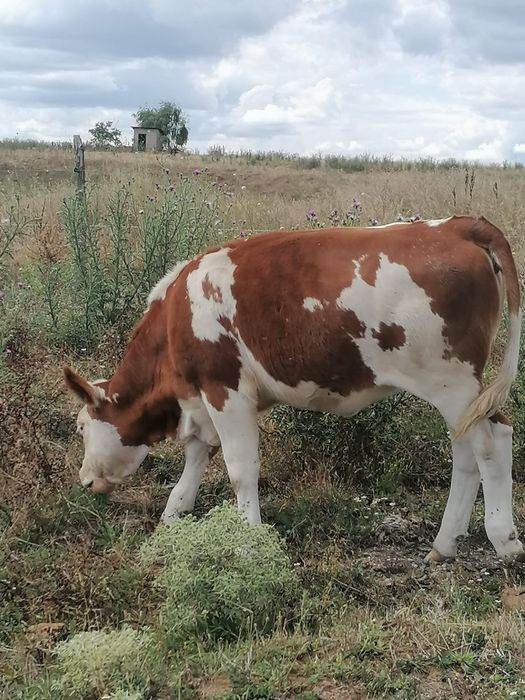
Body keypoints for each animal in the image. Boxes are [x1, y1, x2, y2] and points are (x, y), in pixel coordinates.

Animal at [64, 215, 524, 563]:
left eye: (82, 428)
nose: (84, 480)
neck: (179, 311)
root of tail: (458, 225)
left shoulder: (225, 389)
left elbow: (240, 469)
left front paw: (250, 538)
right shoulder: (204, 398)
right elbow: (198, 454)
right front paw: (175, 511)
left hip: (454, 383)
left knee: (492, 444)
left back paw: (504, 539)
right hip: (456, 395)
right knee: (466, 453)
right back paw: (444, 544)